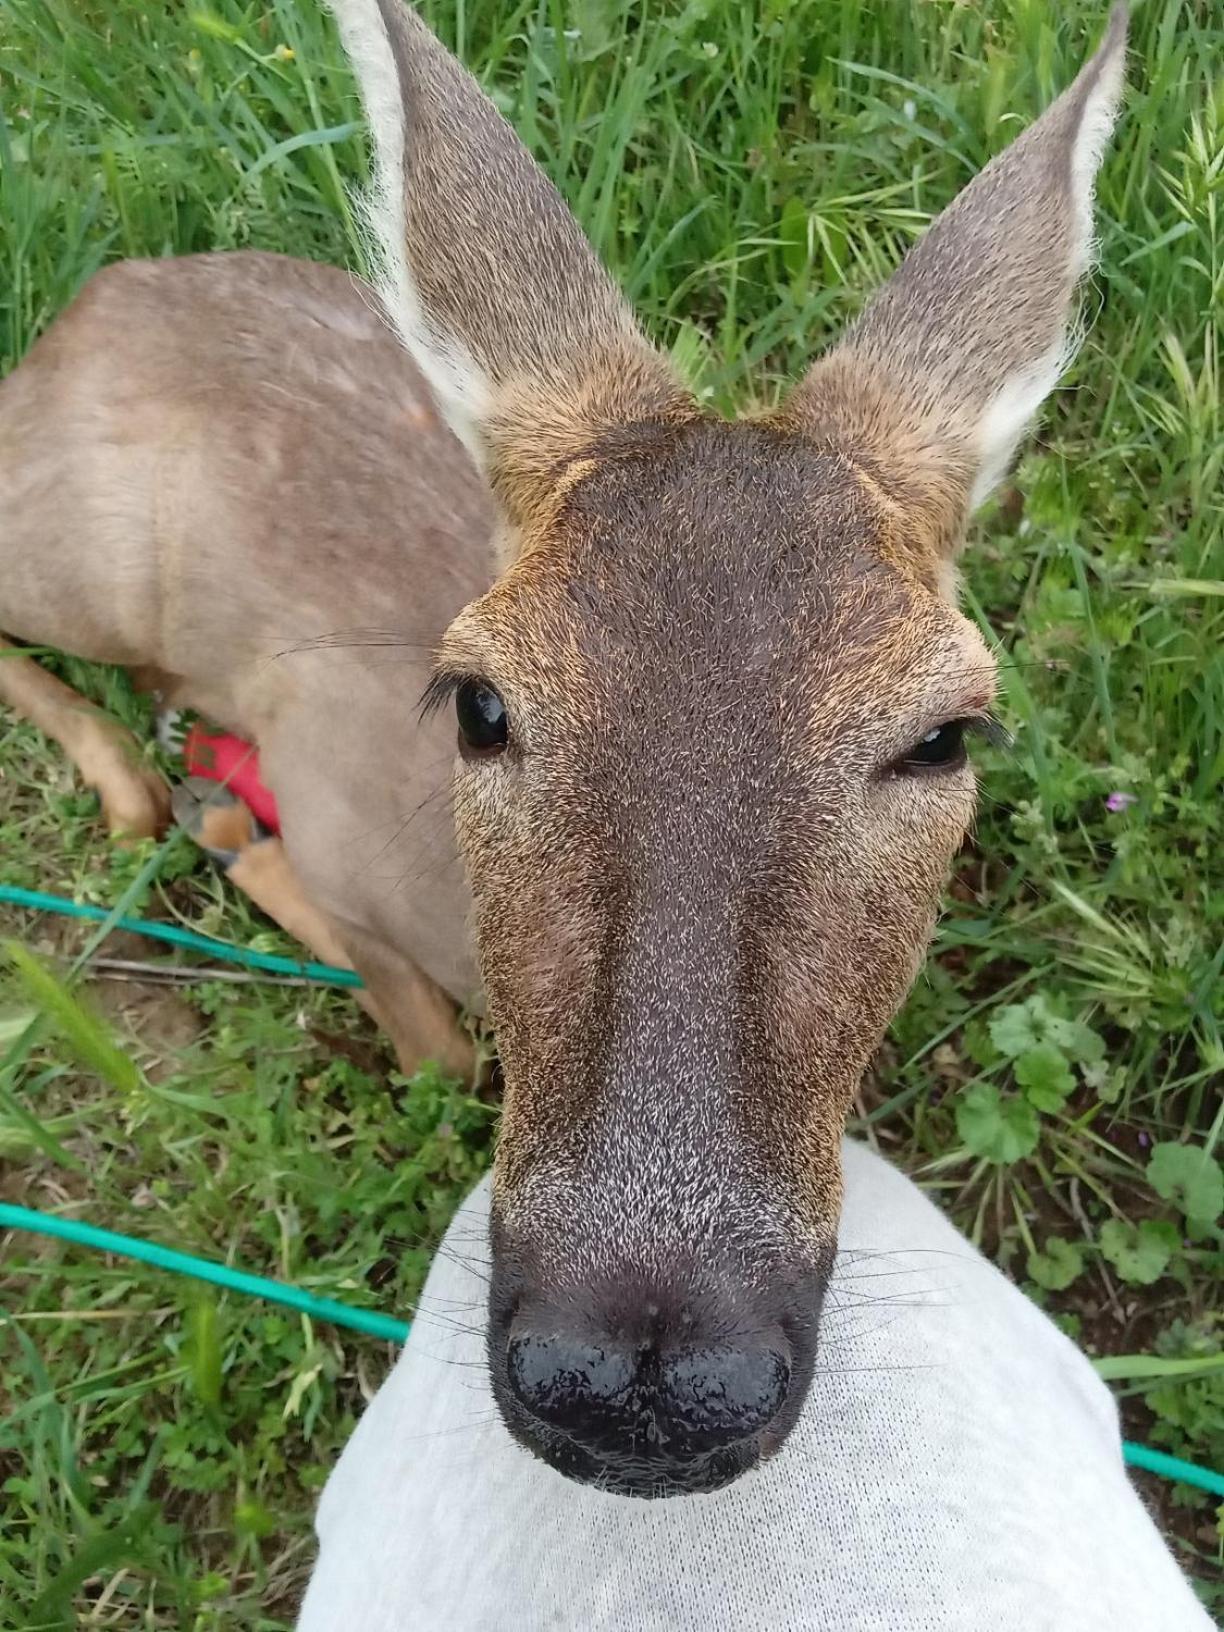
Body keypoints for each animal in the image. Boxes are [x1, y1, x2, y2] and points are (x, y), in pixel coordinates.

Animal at [2, 0, 1129, 1494]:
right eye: (479, 704)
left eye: (945, 735)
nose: (641, 1378)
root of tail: (84, 307)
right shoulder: (340, 815)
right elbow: (428, 1044)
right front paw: (234, 830)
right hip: (78, 558)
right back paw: (149, 784)